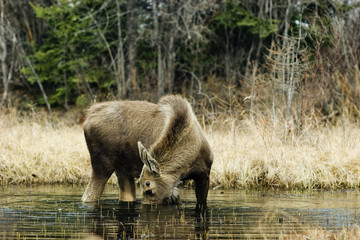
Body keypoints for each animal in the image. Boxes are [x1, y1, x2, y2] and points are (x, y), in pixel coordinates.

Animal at [80, 94, 212, 209]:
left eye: (148, 186)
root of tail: (87, 120)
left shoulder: (203, 175)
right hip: (102, 164)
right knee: (88, 196)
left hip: (121, 169)